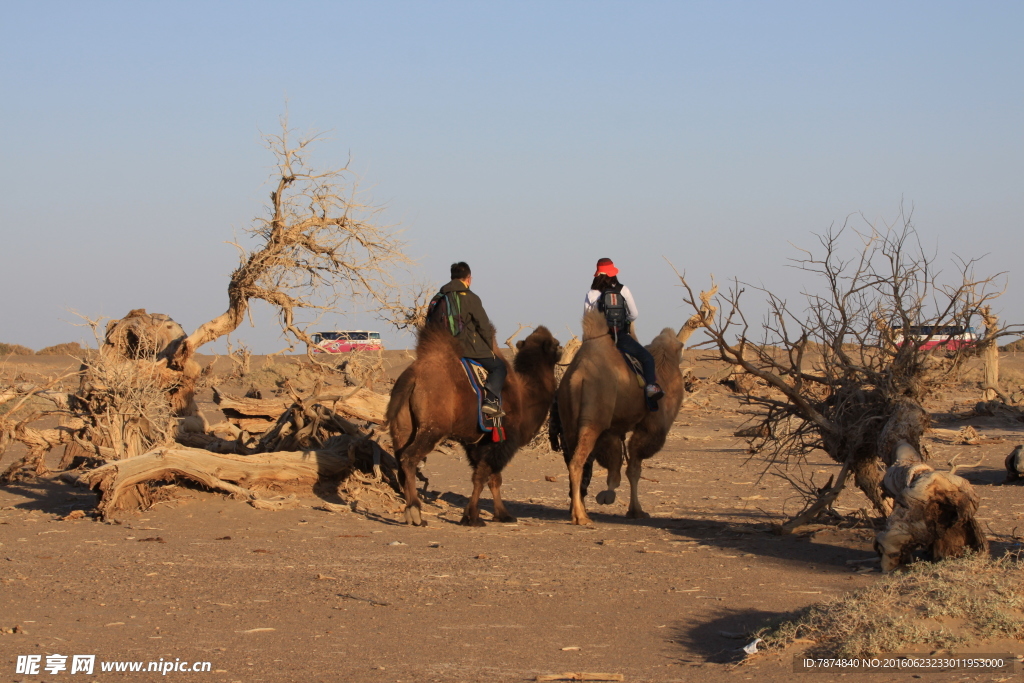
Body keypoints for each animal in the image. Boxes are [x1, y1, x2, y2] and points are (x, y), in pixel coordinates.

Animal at [385, 323, 561, 528]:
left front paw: (503, 515)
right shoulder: (502, 441)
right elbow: (482, 477)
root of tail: (412, 377)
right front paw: (472, 517)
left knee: (400, 460)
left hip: (402, 427)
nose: (562, 350)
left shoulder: (477, 443)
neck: (524, 396)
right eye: (556, 344)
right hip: (433, 427)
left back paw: (409, 510)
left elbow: (493, 478)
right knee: (409, 458)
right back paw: (415, 512)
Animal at [552, 313, 688, 528]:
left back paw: (576, 510)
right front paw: (636, 511)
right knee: (577, 463)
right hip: (593, 420)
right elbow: (634, 469)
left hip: (569, 421)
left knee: (575, 461)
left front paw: (609, 494)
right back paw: (581, 517)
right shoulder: (649, 426)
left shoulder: (613, 429)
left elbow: (616, 461)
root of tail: (577, 376)